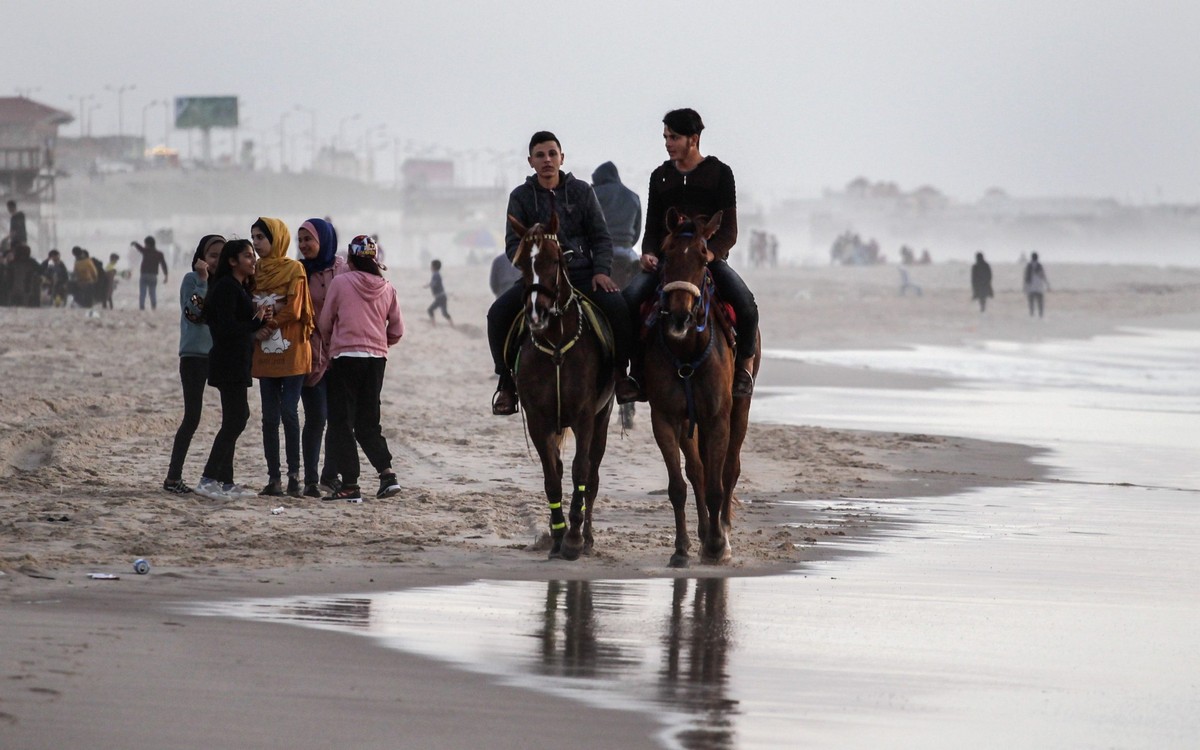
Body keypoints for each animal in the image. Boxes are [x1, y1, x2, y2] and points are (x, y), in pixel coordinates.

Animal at [508, 208, 619, 556]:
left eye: (555, 260)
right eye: (520, 263)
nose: (536, 313)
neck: (556, 343)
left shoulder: (585, 416)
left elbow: (580, 471)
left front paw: (573, 538)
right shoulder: (538, 419)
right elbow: (551, 475)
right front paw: (558, 534)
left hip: (603, 416)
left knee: (593, 475)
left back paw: (587, 537)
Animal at [648, 207, 758, 564]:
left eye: (702, 256)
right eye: (666, 254)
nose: (679, 316)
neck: (687, 351)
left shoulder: (717, 417)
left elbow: (717, 483)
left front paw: (717, 544)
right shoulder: (666, 418)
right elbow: (678, 485)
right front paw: (681, 548)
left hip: (740, 408)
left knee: (729, 469)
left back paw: (720, 529)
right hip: (688, 422)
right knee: (697, 469)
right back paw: (702, 531)